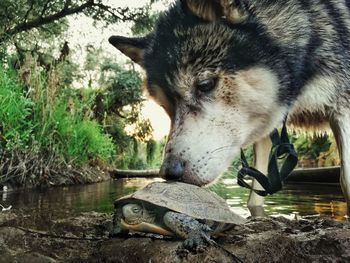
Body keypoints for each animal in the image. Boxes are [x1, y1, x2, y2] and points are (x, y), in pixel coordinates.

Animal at [110, 0, 350, 217]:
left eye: (205, 84)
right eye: (165, 106)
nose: (169, 173)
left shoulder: (343, 111)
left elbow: (345, 180)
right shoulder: (266, 128)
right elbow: (256, 194)